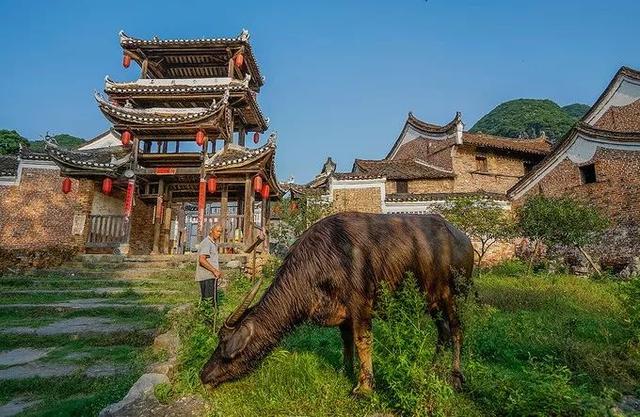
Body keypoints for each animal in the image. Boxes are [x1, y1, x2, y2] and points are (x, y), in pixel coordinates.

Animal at [200, 211, 476, 394]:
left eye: (224, 346)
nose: (204, 374)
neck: (324, 260)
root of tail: (464, 239)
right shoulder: (344, 313)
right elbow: (346, 341)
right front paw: (347, 371)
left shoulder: (361, 306)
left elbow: (362, 341)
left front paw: (364, 387)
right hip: (432, 301)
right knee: (442, 331)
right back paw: (432, 368)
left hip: (454, 295)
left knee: (457, 330)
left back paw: (456, 377)